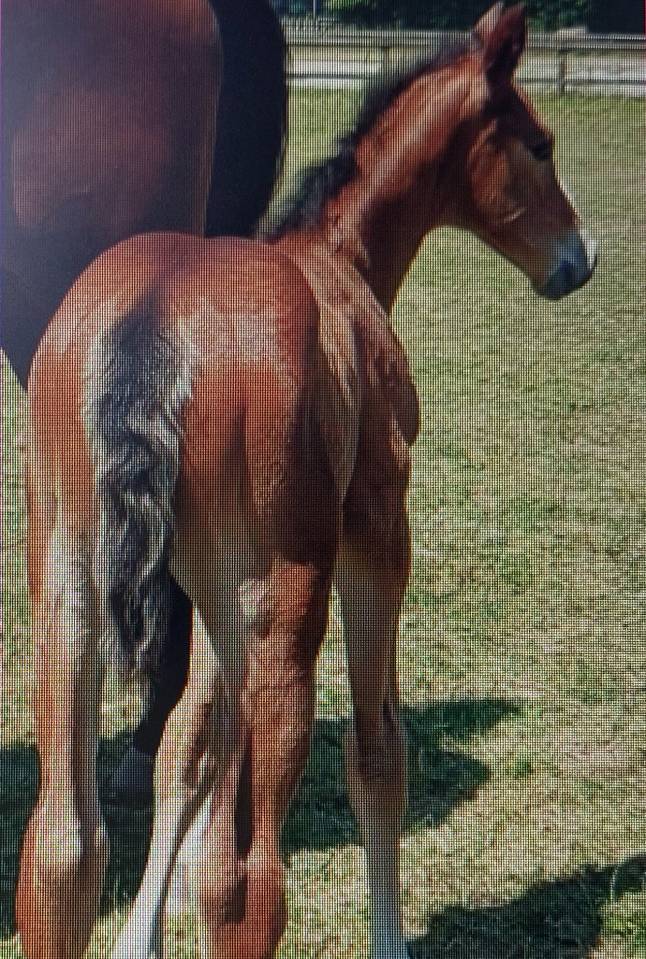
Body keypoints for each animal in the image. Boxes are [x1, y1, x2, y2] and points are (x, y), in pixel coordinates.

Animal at [21, 4, 596, 957]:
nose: (578, 261)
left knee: (63, 850)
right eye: (542, 145)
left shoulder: (203, 589)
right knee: (246, 881)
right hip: (287, 597)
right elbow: (378, 749)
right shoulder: (380, 532)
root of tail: (152, 322)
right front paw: (390, 937)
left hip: (71, 584)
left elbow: (188, 743)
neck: (339, 259)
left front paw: (140, 931)